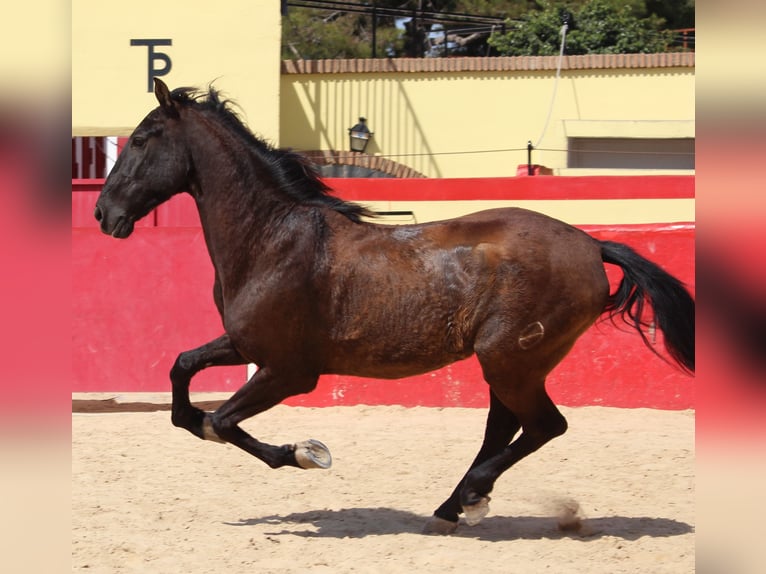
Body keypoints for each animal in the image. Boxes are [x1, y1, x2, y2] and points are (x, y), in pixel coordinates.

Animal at [94, 78, 695, 535]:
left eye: (142, 139)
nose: (104, 213)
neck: (273, 239)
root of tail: (593, 244)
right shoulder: (245, 346)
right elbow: (182, 381)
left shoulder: (289, 371)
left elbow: (220, 421)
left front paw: (308, 452)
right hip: (508, 364)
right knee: (505, 427)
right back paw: (455, 507)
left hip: (512, 359)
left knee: (545, 425)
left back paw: (470, 498)